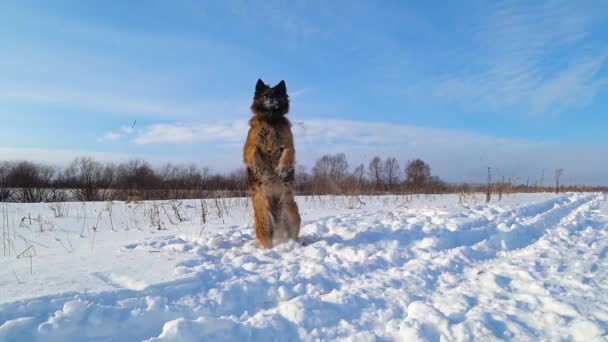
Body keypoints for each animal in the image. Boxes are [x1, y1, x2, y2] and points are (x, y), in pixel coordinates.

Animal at [241, 78, 300, 247]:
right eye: (266, 95)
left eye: (277, 94)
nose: (272, 99)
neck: (271, 120)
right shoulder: (250, 145)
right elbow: (252, 152)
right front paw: (260, 168)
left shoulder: (288, 144)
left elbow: (288, 152)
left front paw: (283, 168)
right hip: (263, 218)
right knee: (265, 238)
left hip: (291, 212)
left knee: (293, 234)